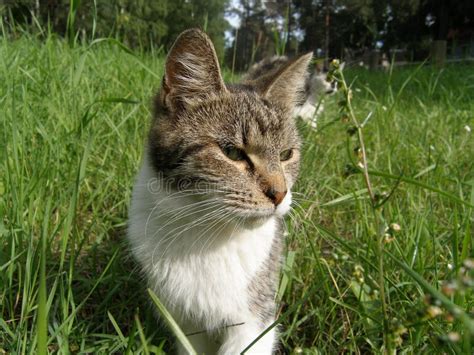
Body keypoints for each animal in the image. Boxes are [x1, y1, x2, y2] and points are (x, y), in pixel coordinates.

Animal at [127, 29, 312, 355]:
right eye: (232, 153)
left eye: (287, 154)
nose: (279, 193)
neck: (207, 235)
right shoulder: (186, 323)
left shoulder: (255, 318)